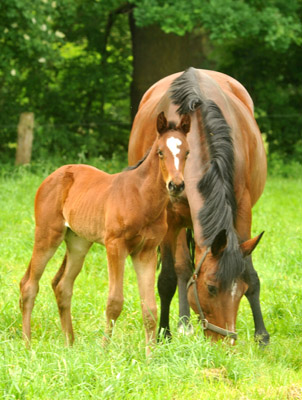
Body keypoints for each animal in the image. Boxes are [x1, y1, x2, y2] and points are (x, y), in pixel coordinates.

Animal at [18, 112, 190, 354]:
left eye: (187, 152)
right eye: (160, 152)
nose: (176, 185)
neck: (141, 198)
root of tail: (54, 175)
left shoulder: (145, 252)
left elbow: (150, 308)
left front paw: (150, 356)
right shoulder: (115, 246)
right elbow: (115, 301)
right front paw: (105, 351)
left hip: (78, 243)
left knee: (62, 286)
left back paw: (70, 344)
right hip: (47, 235)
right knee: (29, 285)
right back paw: (27, 344)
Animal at [129, 68, 270, 344]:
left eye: (240, 291)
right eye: (211, 288)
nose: (226, 341)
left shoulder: (242, 210)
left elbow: (249, 272)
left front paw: (262, 336)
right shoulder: (169, 217)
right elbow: (169, 277)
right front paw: (164, 333)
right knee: (183, 269)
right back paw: (184, 323)